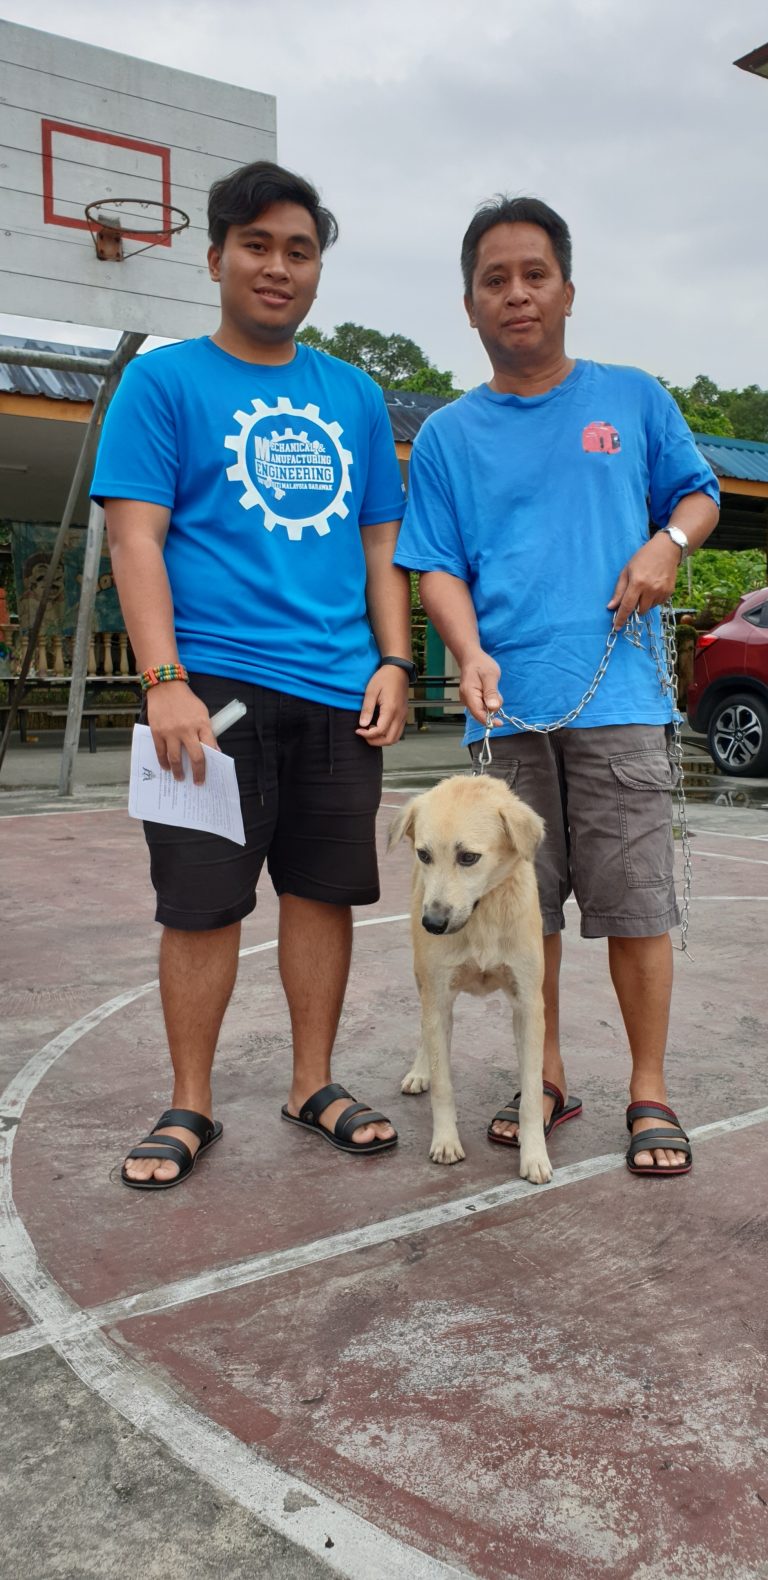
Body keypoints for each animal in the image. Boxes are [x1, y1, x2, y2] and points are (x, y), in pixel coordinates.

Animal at [388, 773, 552, 1183]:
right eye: (424, 854)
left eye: (468, 858)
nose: (432, 924)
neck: (481, 917)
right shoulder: (438, 998)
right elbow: (443, 1084)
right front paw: (446, 1142)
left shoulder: (528, 1004)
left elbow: (531, 1093)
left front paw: (534, 1156)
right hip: (423, 982)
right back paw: (419, 1071)